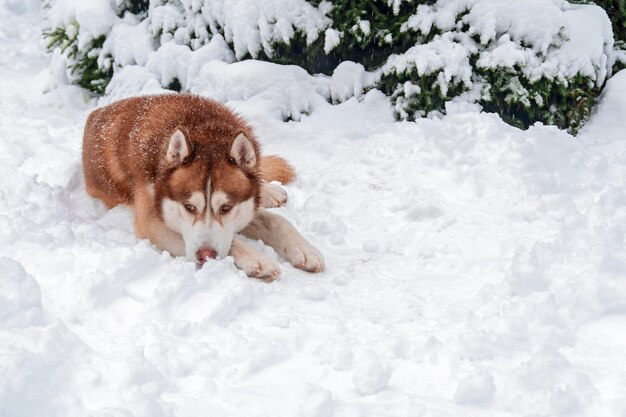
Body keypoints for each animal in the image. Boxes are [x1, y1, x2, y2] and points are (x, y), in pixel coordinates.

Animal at [83, 92, 324, 278]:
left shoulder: (242, 204)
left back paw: (268, 191)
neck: (205, 131)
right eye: (189, 207)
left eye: (226, 208)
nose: (205, 256)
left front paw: (305, 250)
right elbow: (231, 241)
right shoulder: (153, 224)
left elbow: (278, 221)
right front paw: (255, 257)